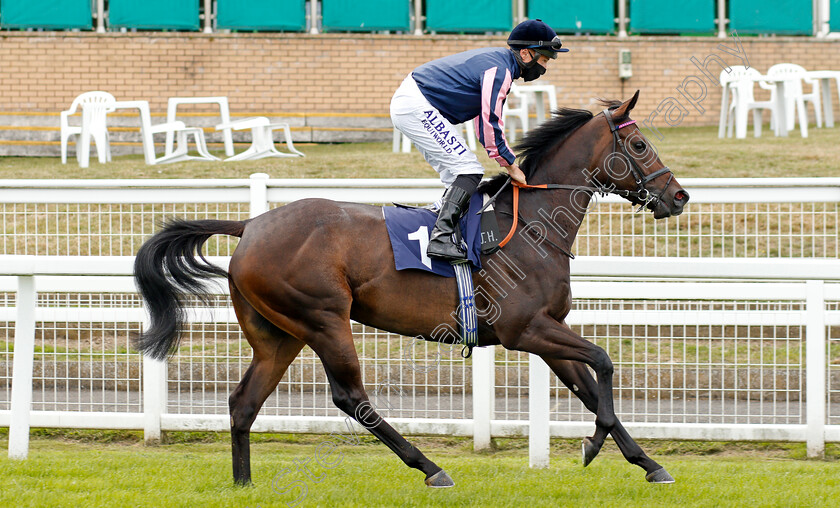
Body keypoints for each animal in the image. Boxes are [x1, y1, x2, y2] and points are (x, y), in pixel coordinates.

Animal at [135, 91, 688, 488]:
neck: (532, 228)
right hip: (323, 319)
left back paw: (243, 483)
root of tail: (249, 224)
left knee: (243, 403)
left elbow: (589, 387)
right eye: (640, 146)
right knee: (351, 397)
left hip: (278, 335)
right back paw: (430, 468)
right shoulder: (524, 330)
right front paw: (594, 446)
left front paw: (647, 463)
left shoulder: (547, 330)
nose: (678, 195)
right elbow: (603, 363)